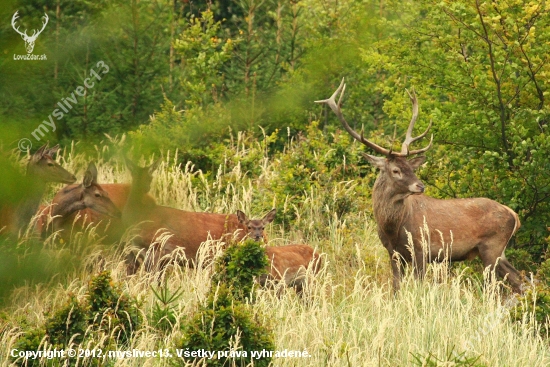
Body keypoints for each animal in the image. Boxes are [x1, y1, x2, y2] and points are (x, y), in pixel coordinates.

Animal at [314, 80, 528, 294]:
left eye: (411, 168)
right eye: (396, 170)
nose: (420, 185)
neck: (393, 228)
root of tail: (514, 215)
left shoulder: (421, 248)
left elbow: (419, 285)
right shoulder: (393, 253)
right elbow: (396, 286)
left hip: (492, 246)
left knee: (497, 285)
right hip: (498, 252)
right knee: (519, 279)